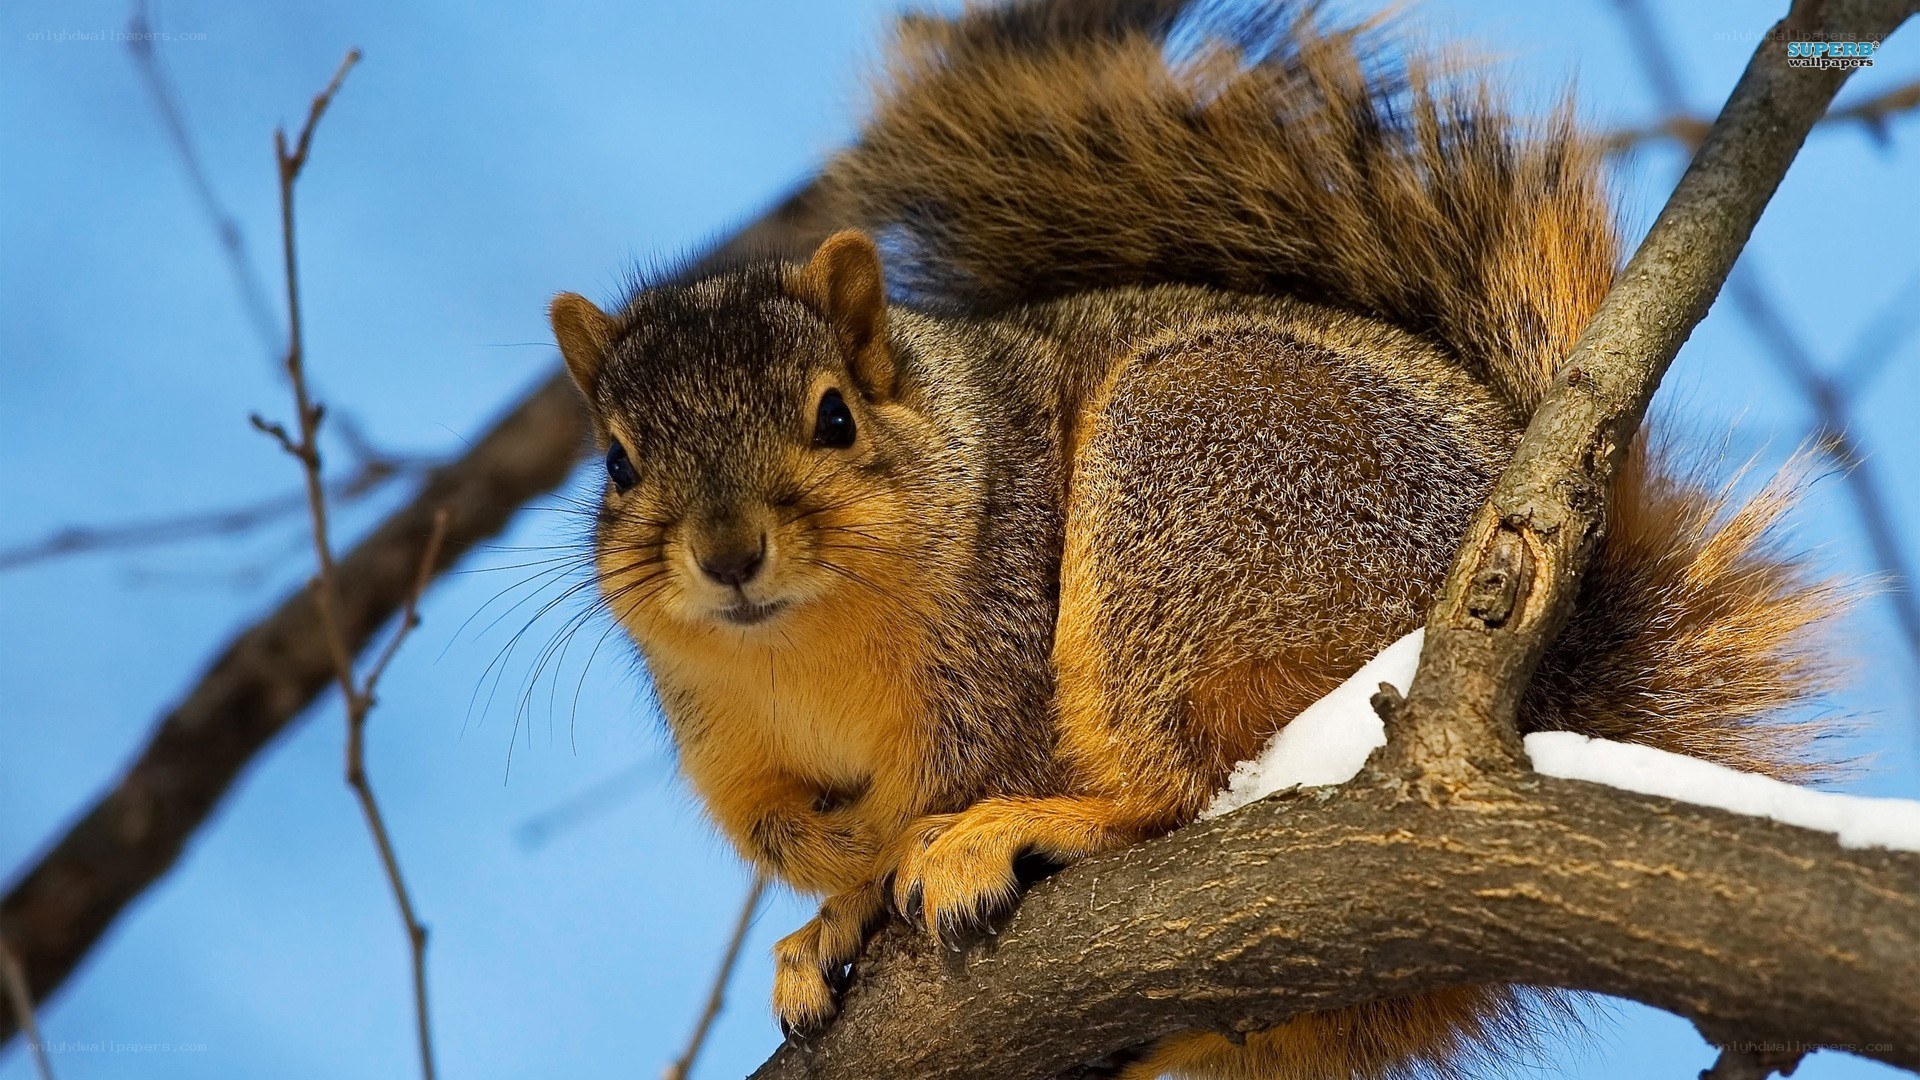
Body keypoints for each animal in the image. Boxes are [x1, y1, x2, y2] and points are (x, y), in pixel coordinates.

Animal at [547, 1, 1842, 1077]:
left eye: (834, 417)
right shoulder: (729, 740)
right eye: (616, 464)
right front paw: (824, 908)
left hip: (1189, 484)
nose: (727, 553)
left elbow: (956, 776)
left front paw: (876, 877)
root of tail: (1557, 671)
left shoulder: (1000, 638)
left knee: (1172, 786)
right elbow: (789, 829)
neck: (798, 658)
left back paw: (1024, 833)